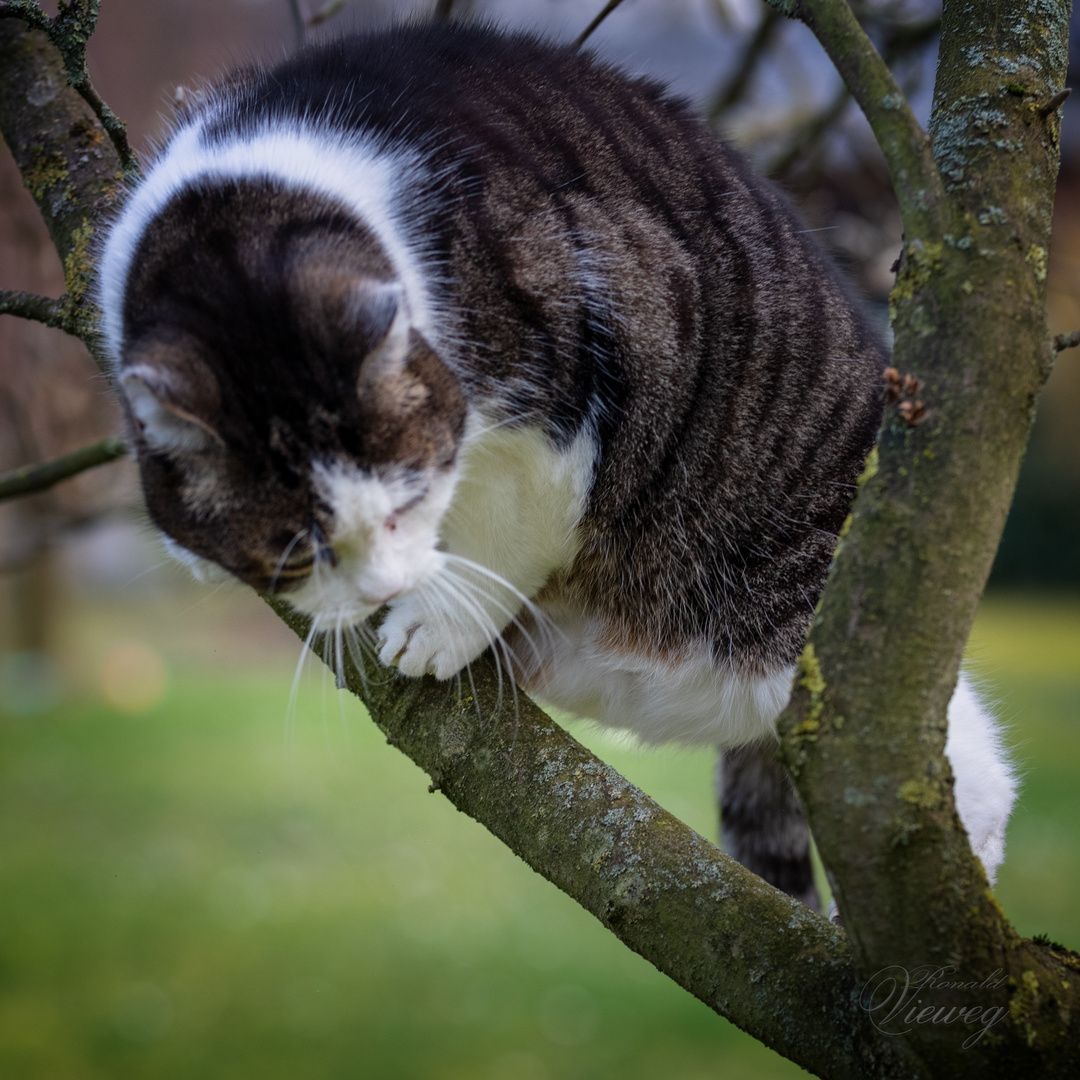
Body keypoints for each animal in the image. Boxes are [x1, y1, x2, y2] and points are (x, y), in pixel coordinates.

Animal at [97, 23, 1015, 902]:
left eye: (405, 504)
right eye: (299, 549)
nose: (387, 587)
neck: (240, 213)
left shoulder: (576, 376)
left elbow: (519, 523)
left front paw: (437, 621)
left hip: (801, 608)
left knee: (925, 759)